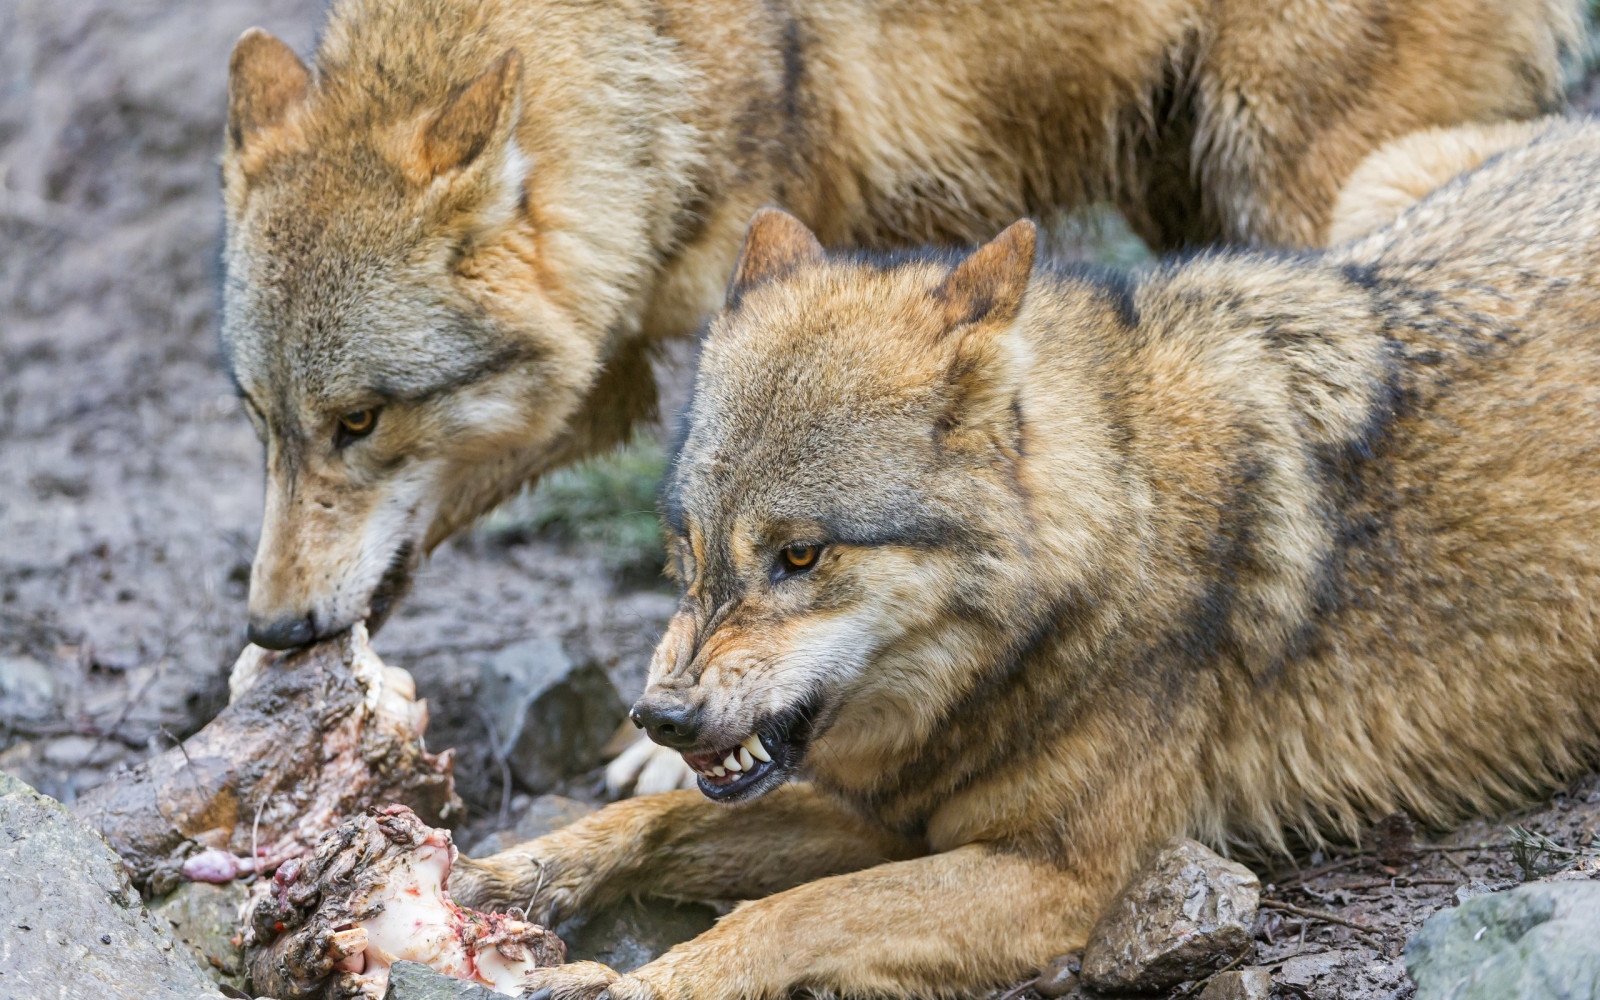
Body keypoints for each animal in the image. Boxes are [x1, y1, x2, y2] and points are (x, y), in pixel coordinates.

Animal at [219, 0, 1586, 653]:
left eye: (361, 420)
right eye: (260, 421)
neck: (653, 58)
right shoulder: (605, 366)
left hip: (1300, 189)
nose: (272, 625)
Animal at [447, 116, 1600, 1000]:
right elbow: (654, 820)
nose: (664, 715)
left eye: (801, 556)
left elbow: (785, 914)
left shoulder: (1055, 876)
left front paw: (641, 980)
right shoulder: (888, 815)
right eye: (685, 549)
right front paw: (508, 872)